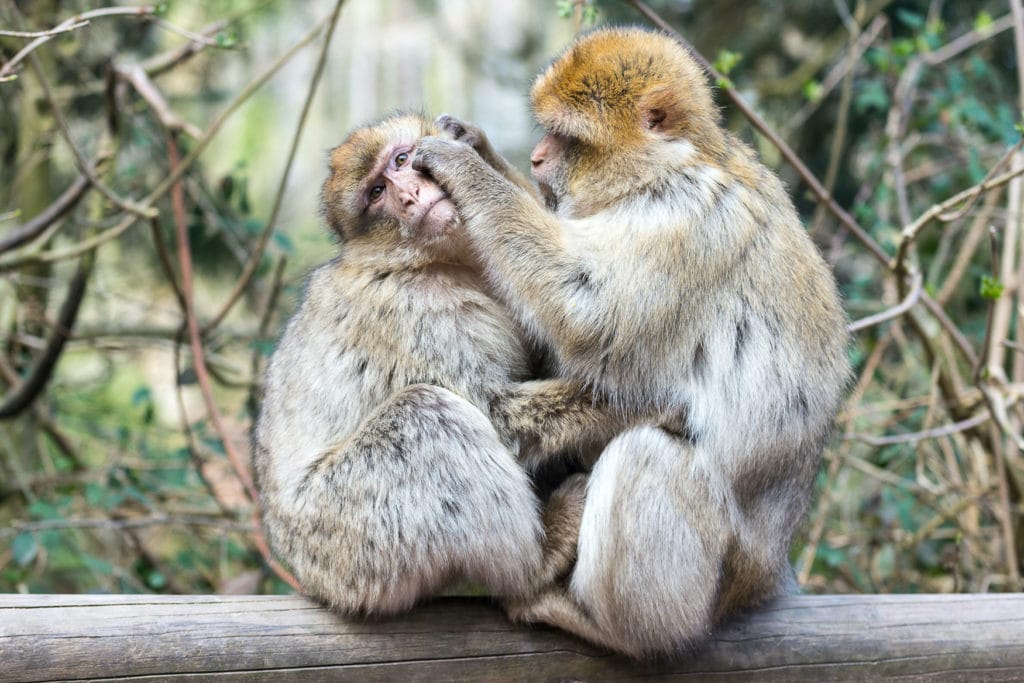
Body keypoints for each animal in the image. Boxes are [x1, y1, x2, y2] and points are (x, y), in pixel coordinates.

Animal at [249, 113, 614, 618]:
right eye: (376, 193)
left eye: (402, 161)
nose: (407, 195)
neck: (444, 263)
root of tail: (310, 579)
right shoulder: (411, 313)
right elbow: (498, 416)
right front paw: (643, 404)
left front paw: (475, 148)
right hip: (351, 541)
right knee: (426, 414)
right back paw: (535, 561)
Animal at [411, 28, 851, 663]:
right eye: (546, 133)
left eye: (569, 138)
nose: (538, 158)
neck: (671, 164)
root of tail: (764, 576)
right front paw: (477, 145)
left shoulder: (682, 222)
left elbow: (587, 310)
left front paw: (466, 168)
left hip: (716, 573)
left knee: (648, 453)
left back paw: (607, 627)